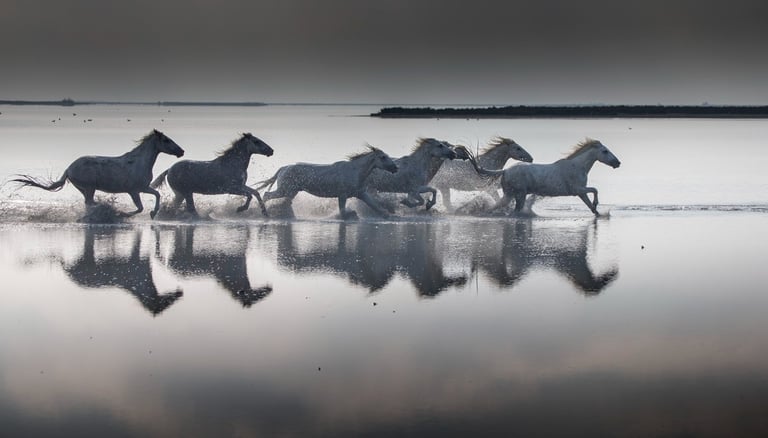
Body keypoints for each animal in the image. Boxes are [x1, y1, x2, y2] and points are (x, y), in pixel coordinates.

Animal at [12, 129, 184, 218]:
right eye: (167, 140)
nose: (181, 151)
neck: (139, 162)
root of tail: (69, 169)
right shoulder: (135, 190)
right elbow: (141, 207)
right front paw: (123, 213)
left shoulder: (143, 188)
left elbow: (156, 195)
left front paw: (153, 213)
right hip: (89, 187)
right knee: (90, 202)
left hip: (84, 189)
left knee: (88, 202)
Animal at [256, 146, 398, 218]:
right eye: (383, 157)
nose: (395, 168)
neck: (355, 172)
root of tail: (284, 168)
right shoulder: (342, 195)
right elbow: (343, 212)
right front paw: (351, 214)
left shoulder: (361, 193)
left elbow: (376, 206)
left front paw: (389, 215)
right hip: (284, 190)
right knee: (266, 195)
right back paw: (264, 213)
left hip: (292, 191)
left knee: (285, 201)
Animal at [460, 139, 620, 215]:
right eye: (605, 151)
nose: (618, 163)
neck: (577, 166)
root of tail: (505, 171)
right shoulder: (578, 190)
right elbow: (595, 190)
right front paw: (597, 204)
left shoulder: (580, 192)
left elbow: (590, 205)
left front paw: (598, 212)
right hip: (519, 194)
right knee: (514, 211)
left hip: (510, 195)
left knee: (498, 206)